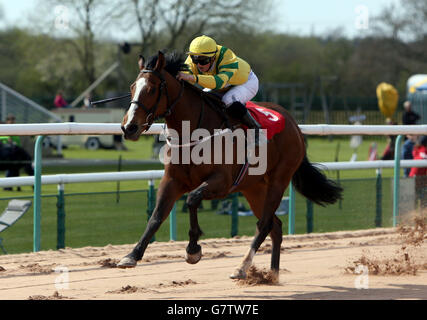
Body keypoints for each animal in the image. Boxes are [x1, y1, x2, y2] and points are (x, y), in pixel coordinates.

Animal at [118, 50, 342, 280]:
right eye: (132, 87)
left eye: (152, 89)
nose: (129, 127)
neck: (193, 131)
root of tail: (294, 124)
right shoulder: (172, 180)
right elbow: (156, 216)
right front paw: (132, 255)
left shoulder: (222, 182)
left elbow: (192, 199)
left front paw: (193, 250)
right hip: (254, 187)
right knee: (276, 226)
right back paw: (272, 275)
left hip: (279, 180)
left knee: (264, 224)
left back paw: (242, 267)